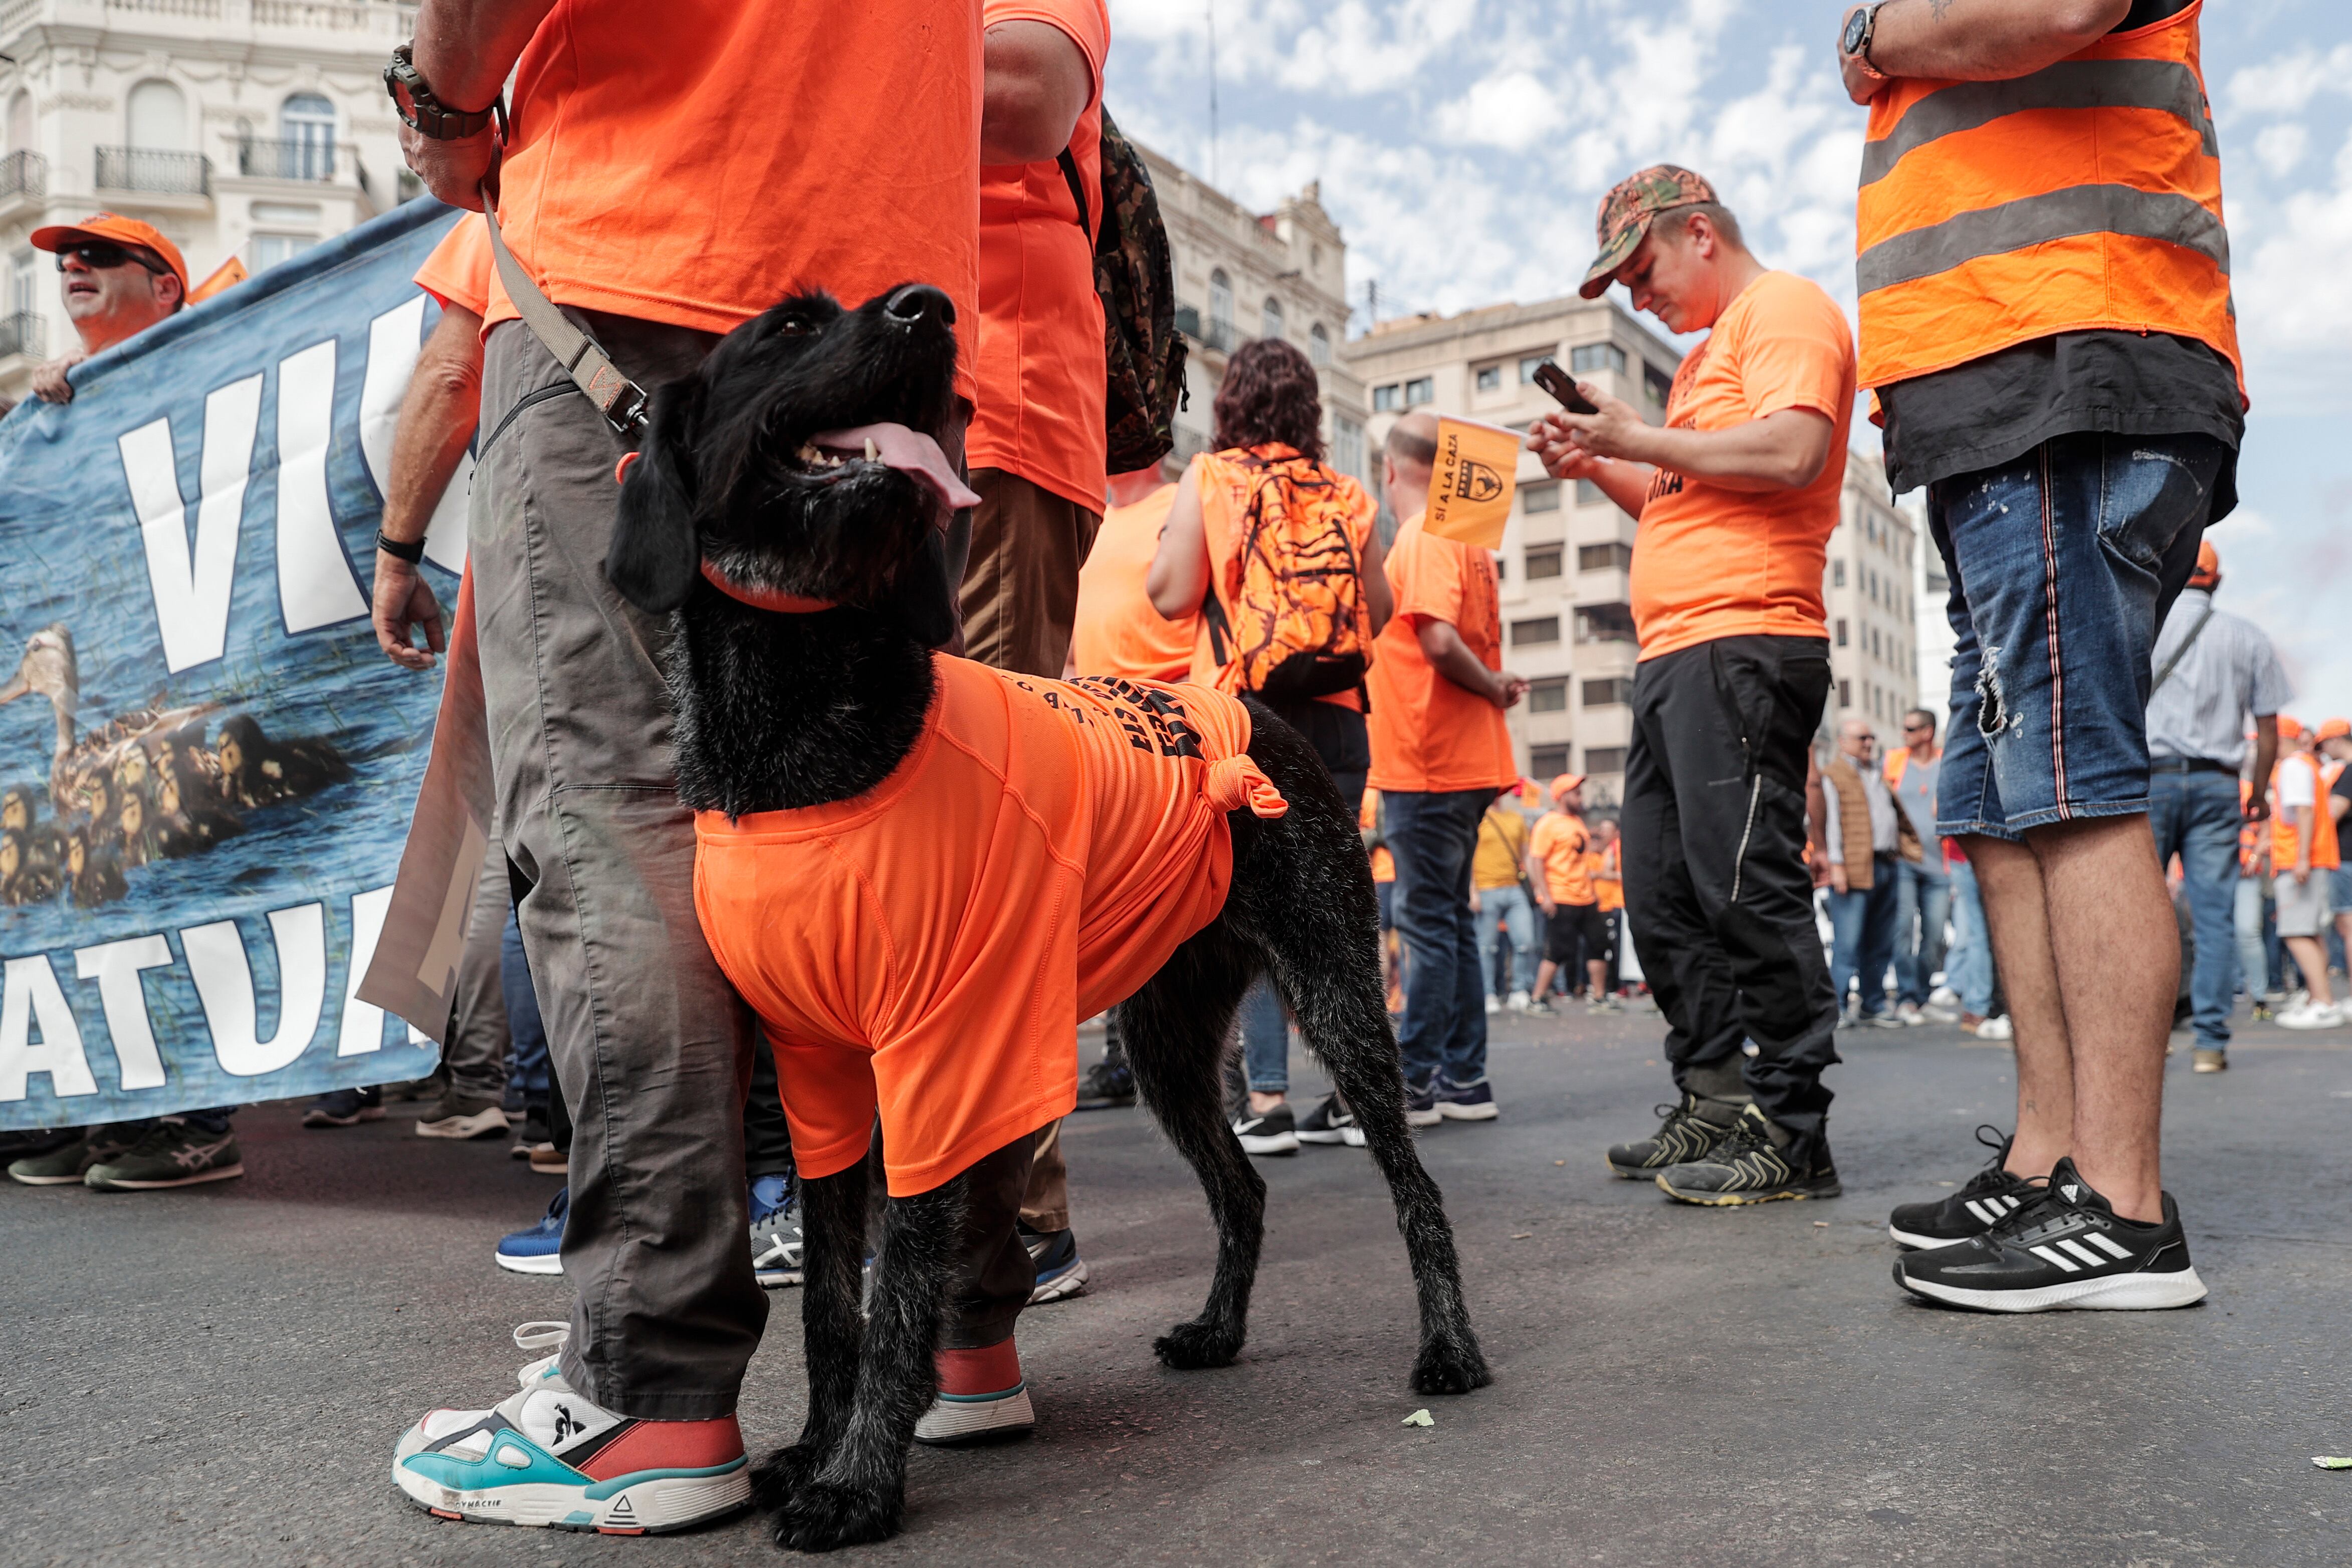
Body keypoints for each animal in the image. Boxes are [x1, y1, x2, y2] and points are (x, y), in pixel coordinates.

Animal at [611, 285, 1486, 1560]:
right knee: (1242, 1188)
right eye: (787, 330)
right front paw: (816, 1447)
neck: (805, 718)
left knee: (1416, 1189)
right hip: (1169, 1042)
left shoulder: (935, 1065)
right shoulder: (819, 1078)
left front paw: (859, 1483)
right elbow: (827, 1301)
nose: (927, 310)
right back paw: (1218, 1330)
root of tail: (1255, 710)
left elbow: (897, 1300)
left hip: (1337, 1001)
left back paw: (1451, 1347)